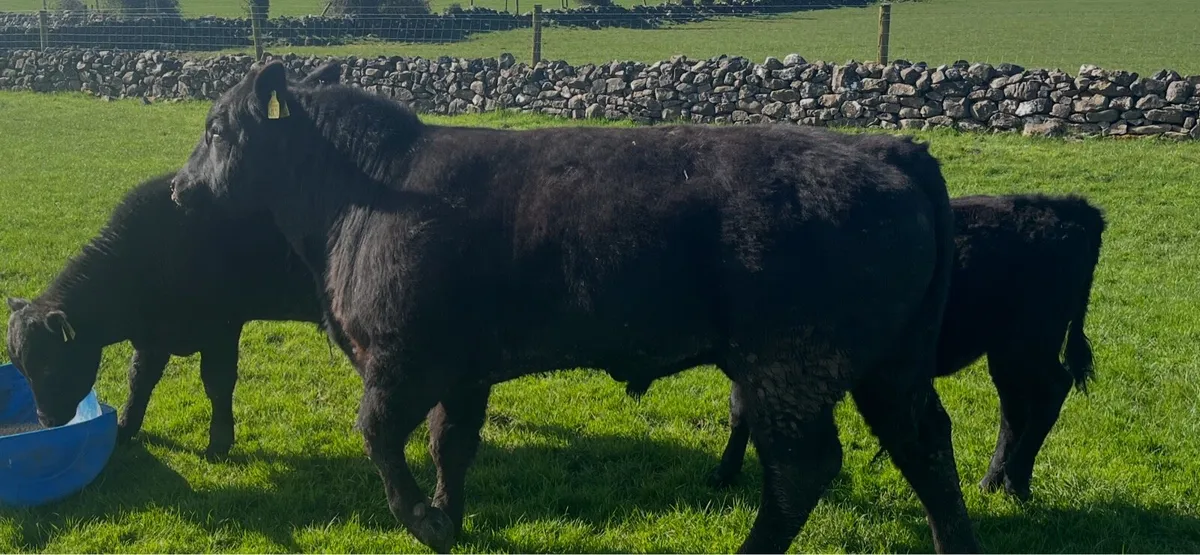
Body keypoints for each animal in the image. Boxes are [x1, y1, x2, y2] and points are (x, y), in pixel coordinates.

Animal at [4, 63, 344, 459]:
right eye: (21, 369)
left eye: (48, 365)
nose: (46, 421)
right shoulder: (152, 338)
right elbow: (139, 380)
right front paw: (125, 430)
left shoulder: (221, 326)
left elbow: (217, 382)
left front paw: (218, 444)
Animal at [165, 61, 979, 553]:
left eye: (216, 129)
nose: (178, 187)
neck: (364, 191)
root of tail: (884, 149)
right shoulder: (462, 371)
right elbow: (450, 444)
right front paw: (451, 515)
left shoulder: (400, 360)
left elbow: (380, 437)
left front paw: (425, 522)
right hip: (890, 369)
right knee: (927, 448)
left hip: (791, 368)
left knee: (803, 467)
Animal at [631, 193, 1106, 502]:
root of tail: (1068, 207)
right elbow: (739, 413)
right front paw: (723, 473)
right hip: (1005, 352)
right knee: (1014, 409)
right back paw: (992, 480)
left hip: (1029, 344)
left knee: (1050, 393)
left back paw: (1016, 483)